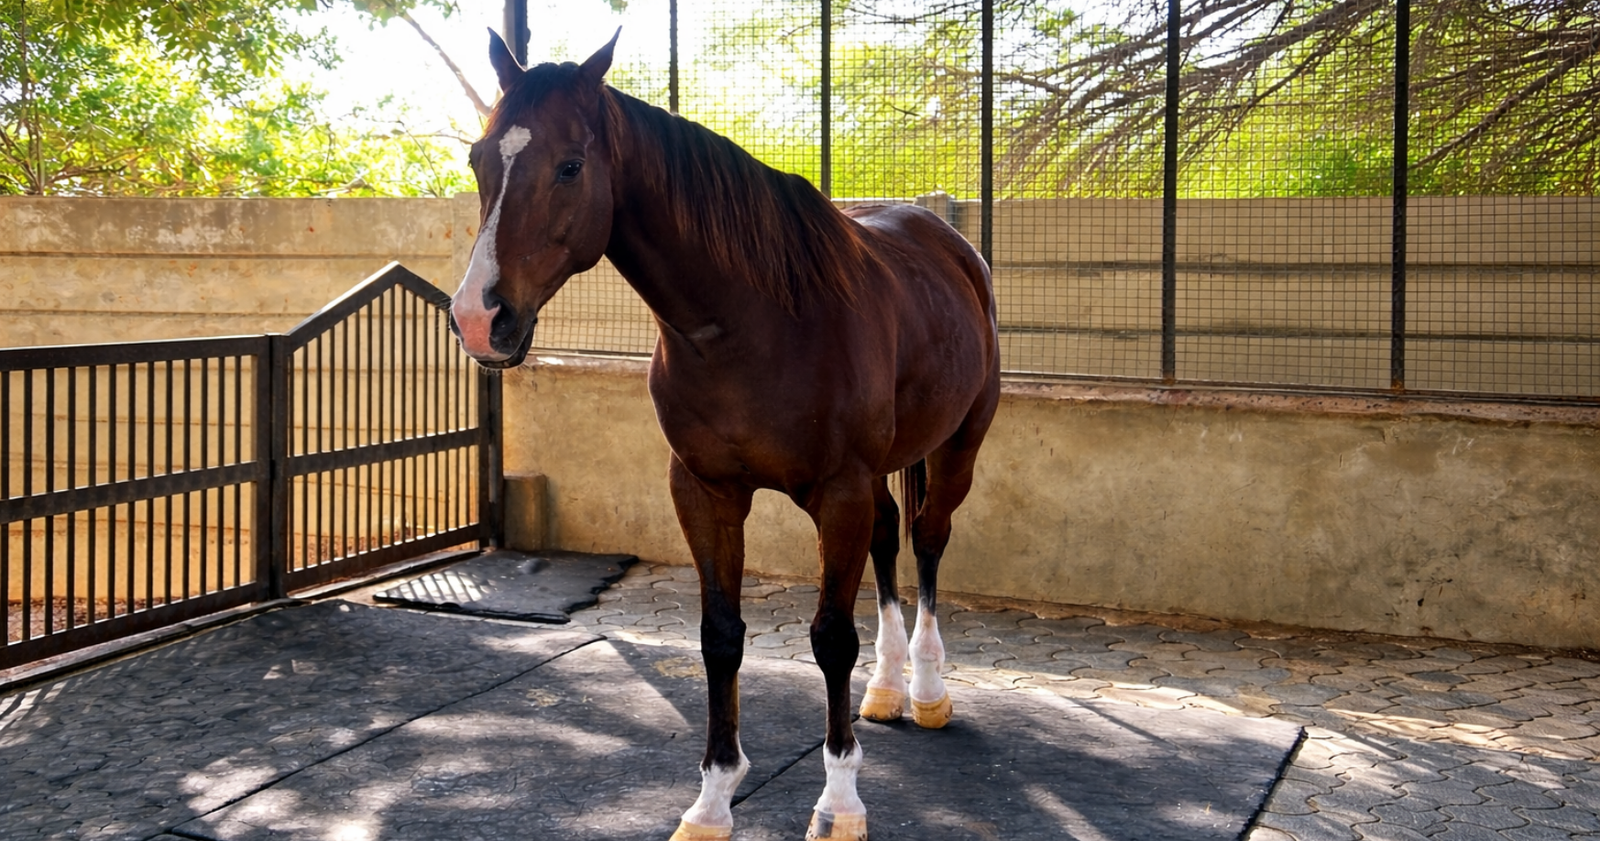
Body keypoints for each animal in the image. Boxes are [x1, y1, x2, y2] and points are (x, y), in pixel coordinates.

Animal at [450, 30, 999, 841]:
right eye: (478, 159)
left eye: (570, 165)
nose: (479, 318)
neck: (754, 320)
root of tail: (948, 241)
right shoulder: (705, 490)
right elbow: (720, 635)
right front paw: (712, 800)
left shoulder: (836, 493)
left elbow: (830, 638)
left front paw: (840, 803)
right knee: (890, 536)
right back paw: (887, 688)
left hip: (961, 441)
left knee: (929, 540)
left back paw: (928, 690)